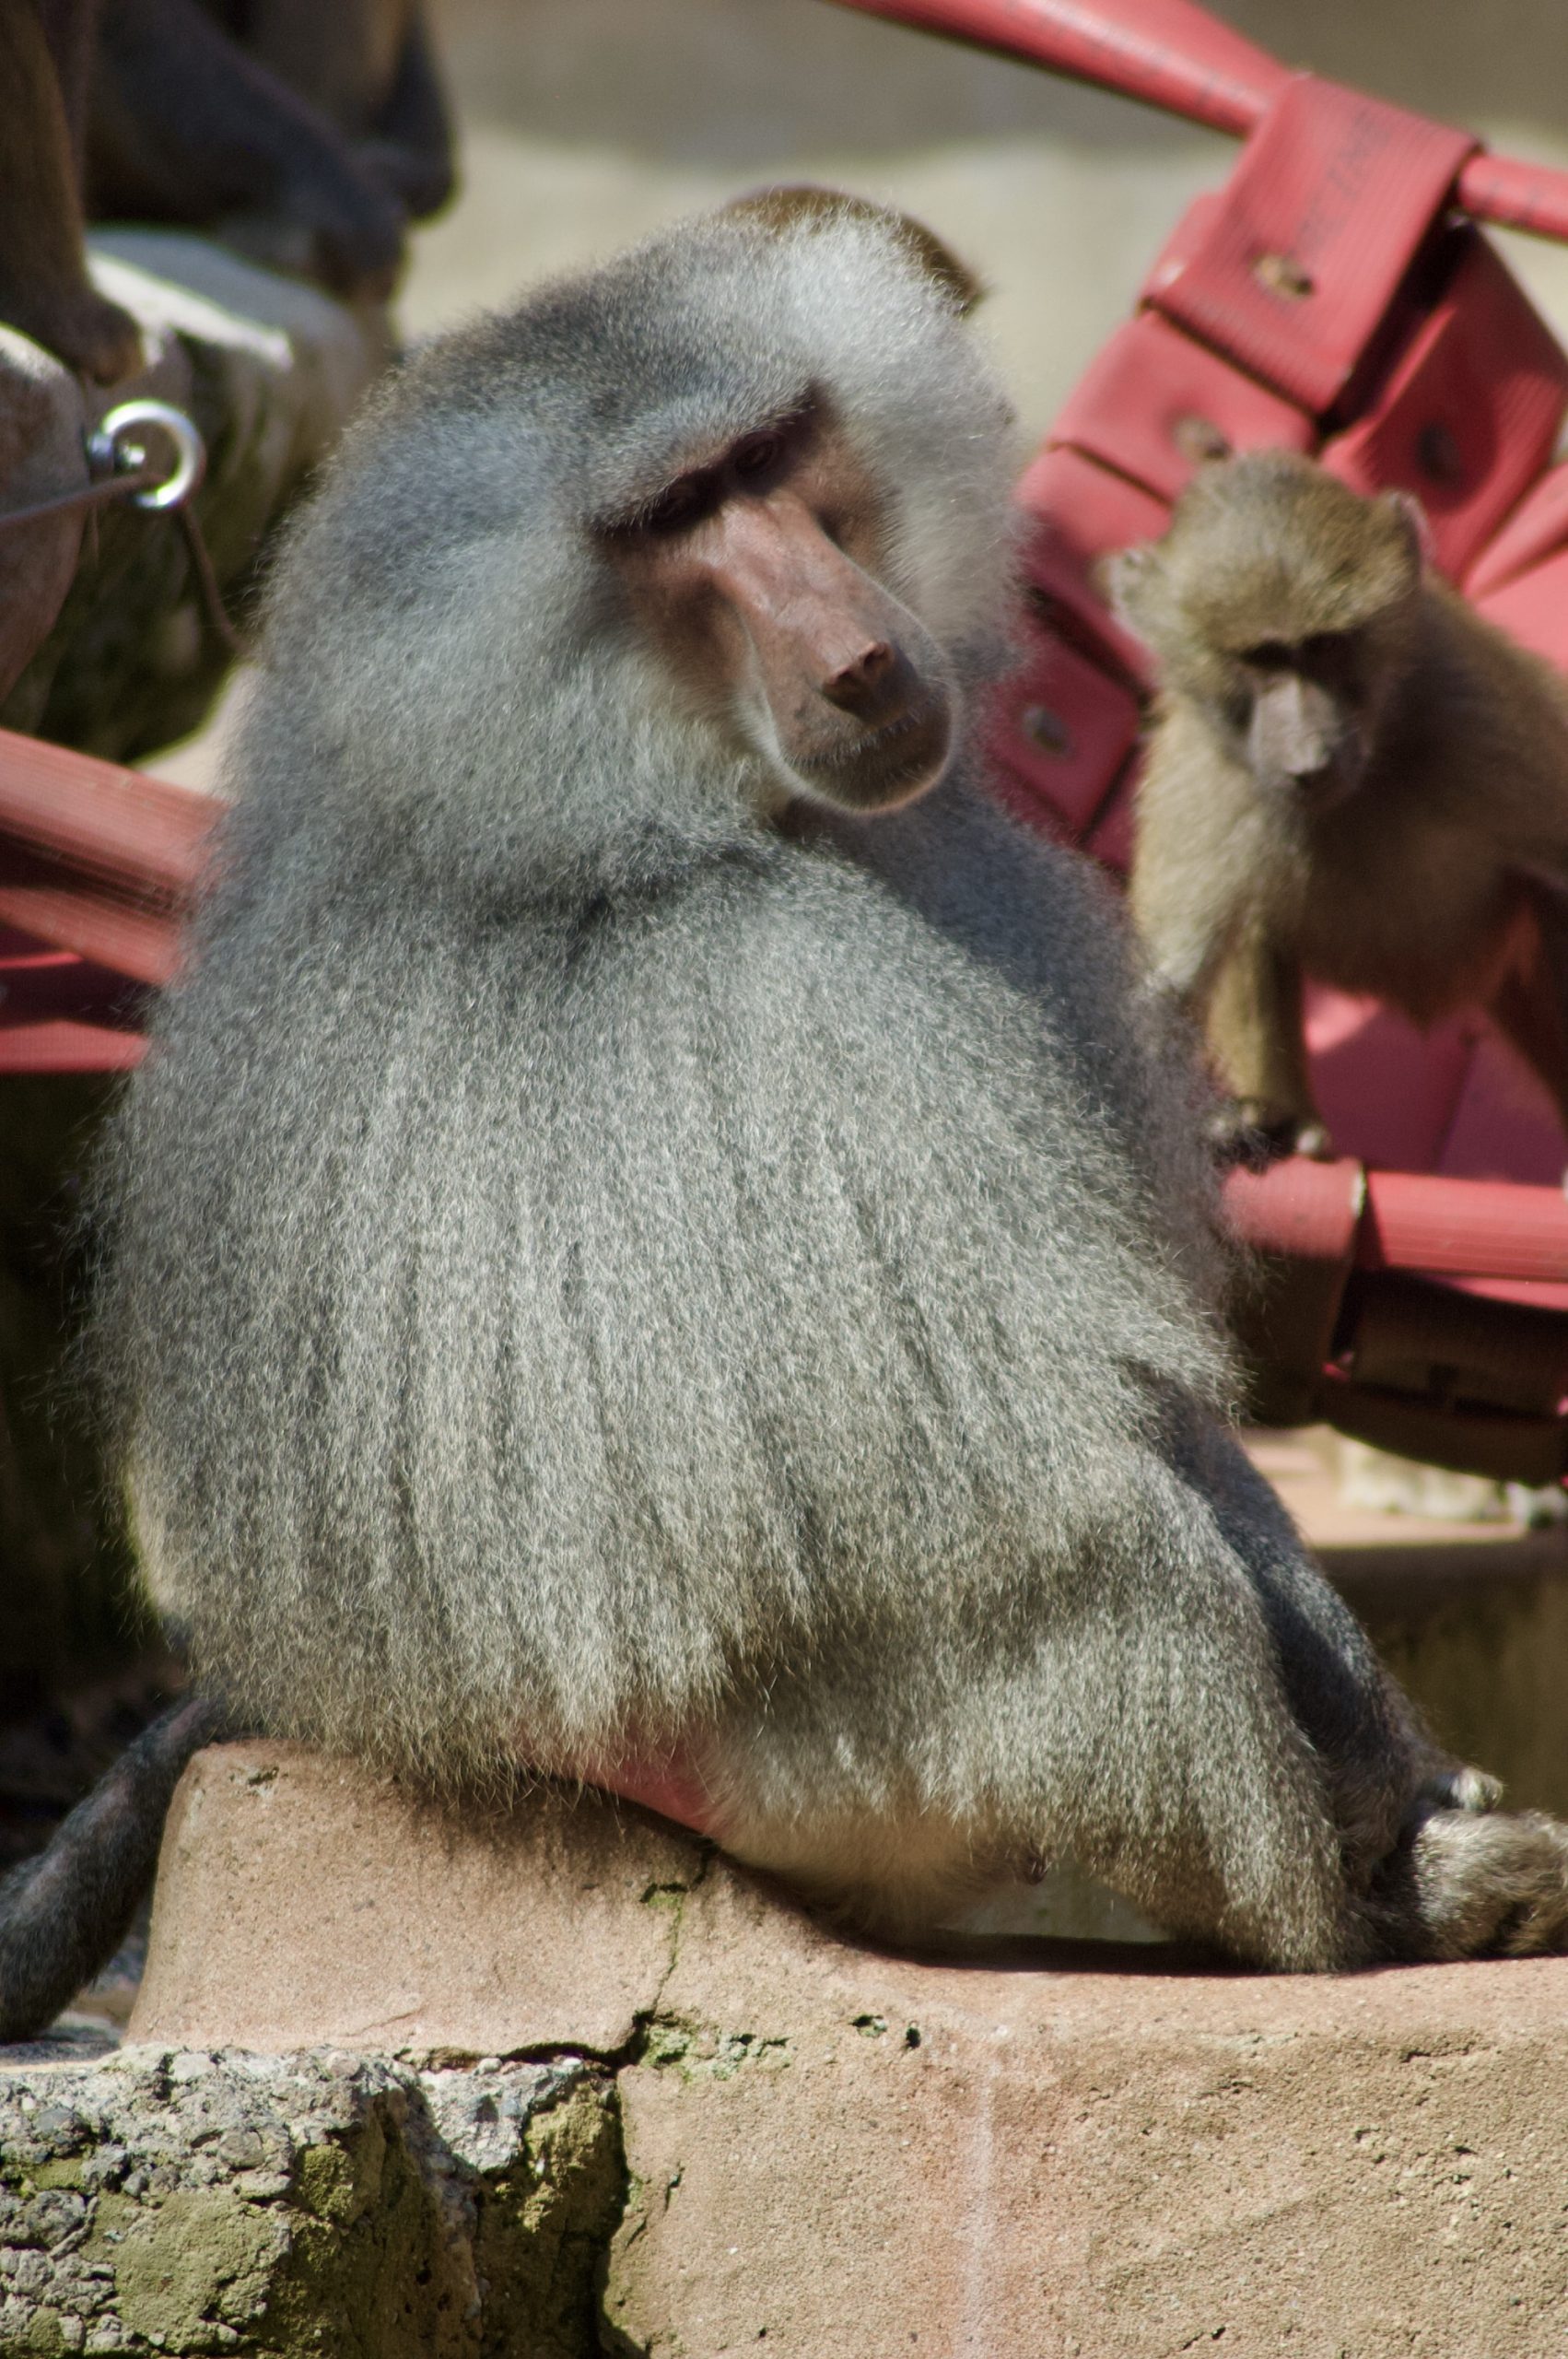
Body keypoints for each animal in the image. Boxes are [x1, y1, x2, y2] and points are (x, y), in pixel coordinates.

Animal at [1109, 449, 1568, 1163]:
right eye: (1260, 659)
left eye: (1326, 646)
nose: (1309, 762)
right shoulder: (1202, 776)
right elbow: (1164, 989)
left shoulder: (1482, 725)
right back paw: (1277, 1118)